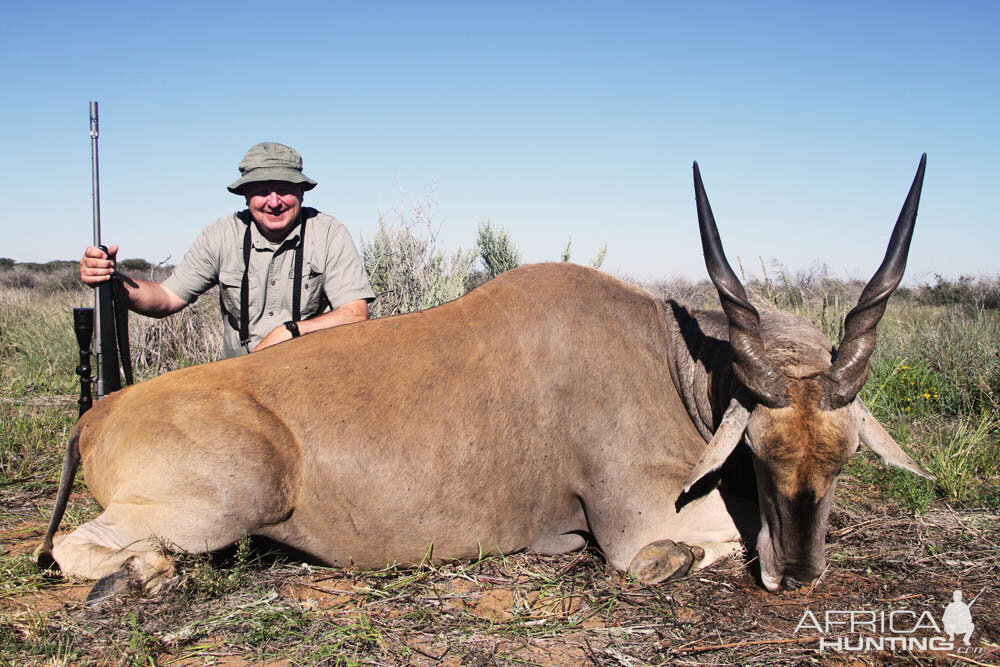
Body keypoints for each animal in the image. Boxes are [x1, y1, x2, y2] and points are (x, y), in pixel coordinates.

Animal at [39, 158, 928, 600]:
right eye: (762, 452)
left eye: (845, 457)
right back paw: (143, 576)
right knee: (73, 549)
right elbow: (684, 549)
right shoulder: (641, 523)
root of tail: (99, 413)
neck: (673, 356)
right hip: (231, 499)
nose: (801, 574)